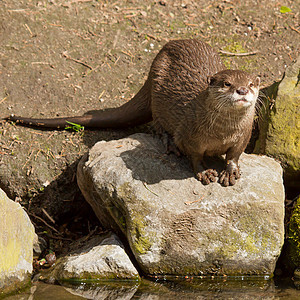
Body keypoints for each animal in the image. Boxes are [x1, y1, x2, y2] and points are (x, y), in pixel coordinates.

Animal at [1, 39, 260, 185]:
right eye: (226, 83)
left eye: (252, 83)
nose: (242, 89)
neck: (221, 133)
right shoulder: (189, 135)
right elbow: (194, 156)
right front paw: (204, 172)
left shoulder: (243, 137)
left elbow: (234, 155)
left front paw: (230, 172)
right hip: (158, 95)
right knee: (158, 124)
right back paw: (169, 144)